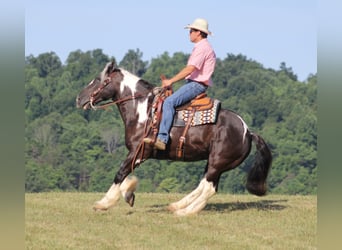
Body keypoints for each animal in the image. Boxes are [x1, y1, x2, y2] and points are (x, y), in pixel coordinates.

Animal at [76, 61, 272, 216]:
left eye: (99, 80)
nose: (79, 98)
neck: (143, 112)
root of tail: (248, 131)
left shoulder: (139, 152)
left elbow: (120, 173)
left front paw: (104, 203)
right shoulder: (138, 154)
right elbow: (125, 175)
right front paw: (129, 194)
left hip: (218, 162)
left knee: (208, 188)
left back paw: (184, 211)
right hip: (215, 163)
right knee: (206, 185)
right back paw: (177, 206)